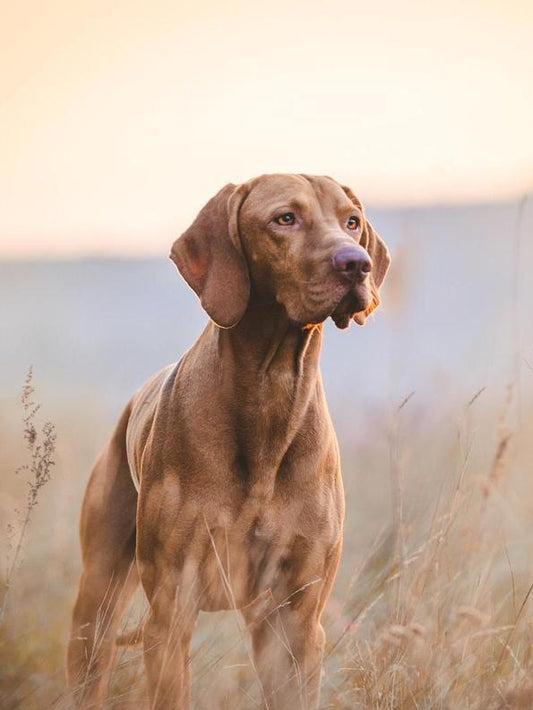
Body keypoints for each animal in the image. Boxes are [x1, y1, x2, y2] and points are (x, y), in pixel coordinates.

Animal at [67, 174, 390, 710]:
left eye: (351, 221)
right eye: (285, 218)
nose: (356, 263)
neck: (271, 393)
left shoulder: (296, 622)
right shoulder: (171, 612)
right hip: (96, 604)